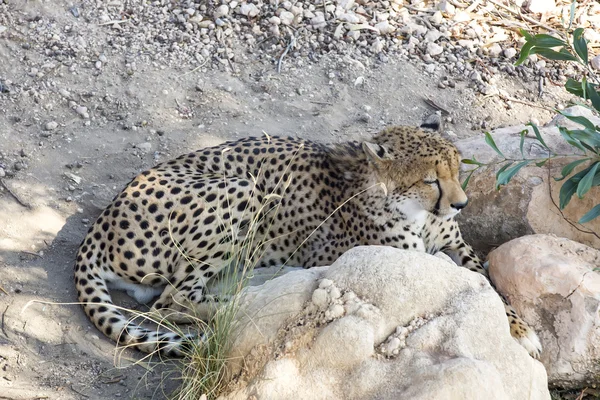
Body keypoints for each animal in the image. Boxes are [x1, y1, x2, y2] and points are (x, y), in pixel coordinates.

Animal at [72, 124, 540, 356]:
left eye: (458, 169)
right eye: (430, 179)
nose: (461, 204)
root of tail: (104, 218)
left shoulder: (457, 246)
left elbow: (492, 286)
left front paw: (521, 329)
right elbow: (485, 290)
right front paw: (523, 335)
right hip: (244, 189)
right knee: (172, 300)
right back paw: (242, 302)